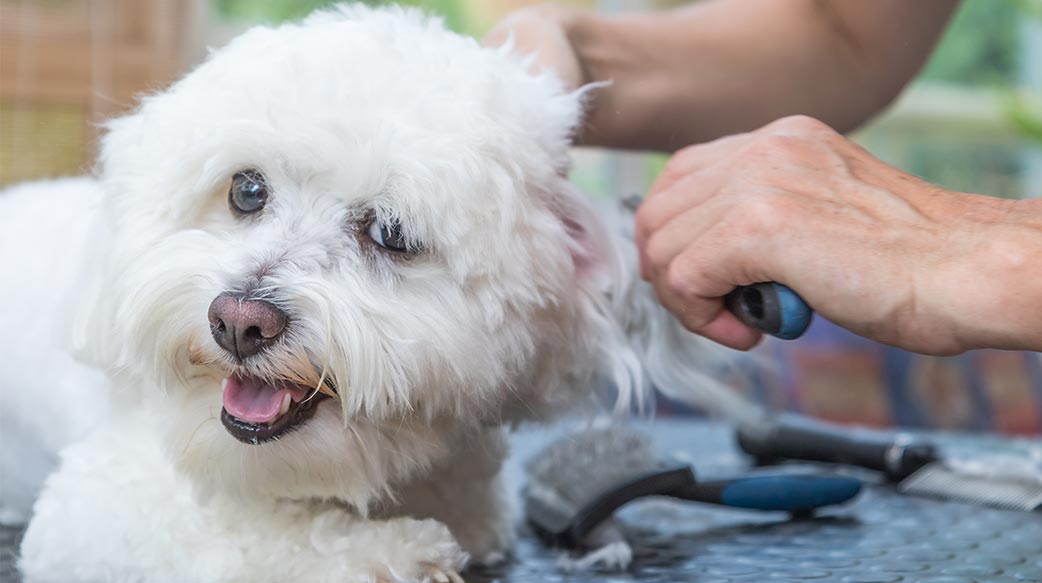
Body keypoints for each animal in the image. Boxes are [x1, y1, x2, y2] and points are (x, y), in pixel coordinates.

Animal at [4, 5, 746, 583]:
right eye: (247, 190)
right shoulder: (97, 503)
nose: (239, 321)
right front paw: (387, 551)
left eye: (390, 232)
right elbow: (242, 534)